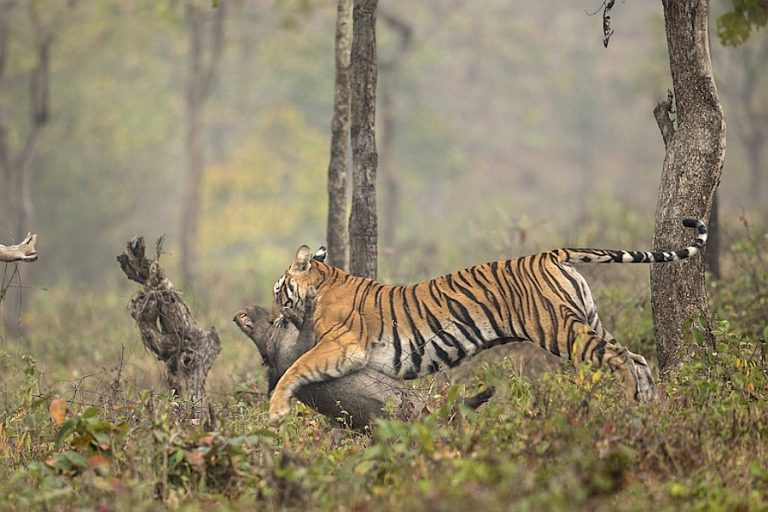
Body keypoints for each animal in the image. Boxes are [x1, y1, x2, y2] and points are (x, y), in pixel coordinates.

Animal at [268, 219, 708, 424]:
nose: (273, 315)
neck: (323, 283)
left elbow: (295, 368)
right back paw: (651, 408)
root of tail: (550, 254)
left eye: (277, 290)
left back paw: (631, 406)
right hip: (587, 319)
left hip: (561, 330)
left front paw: (274, 411)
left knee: (619, 360)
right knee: (636, 357)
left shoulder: (343, 345)